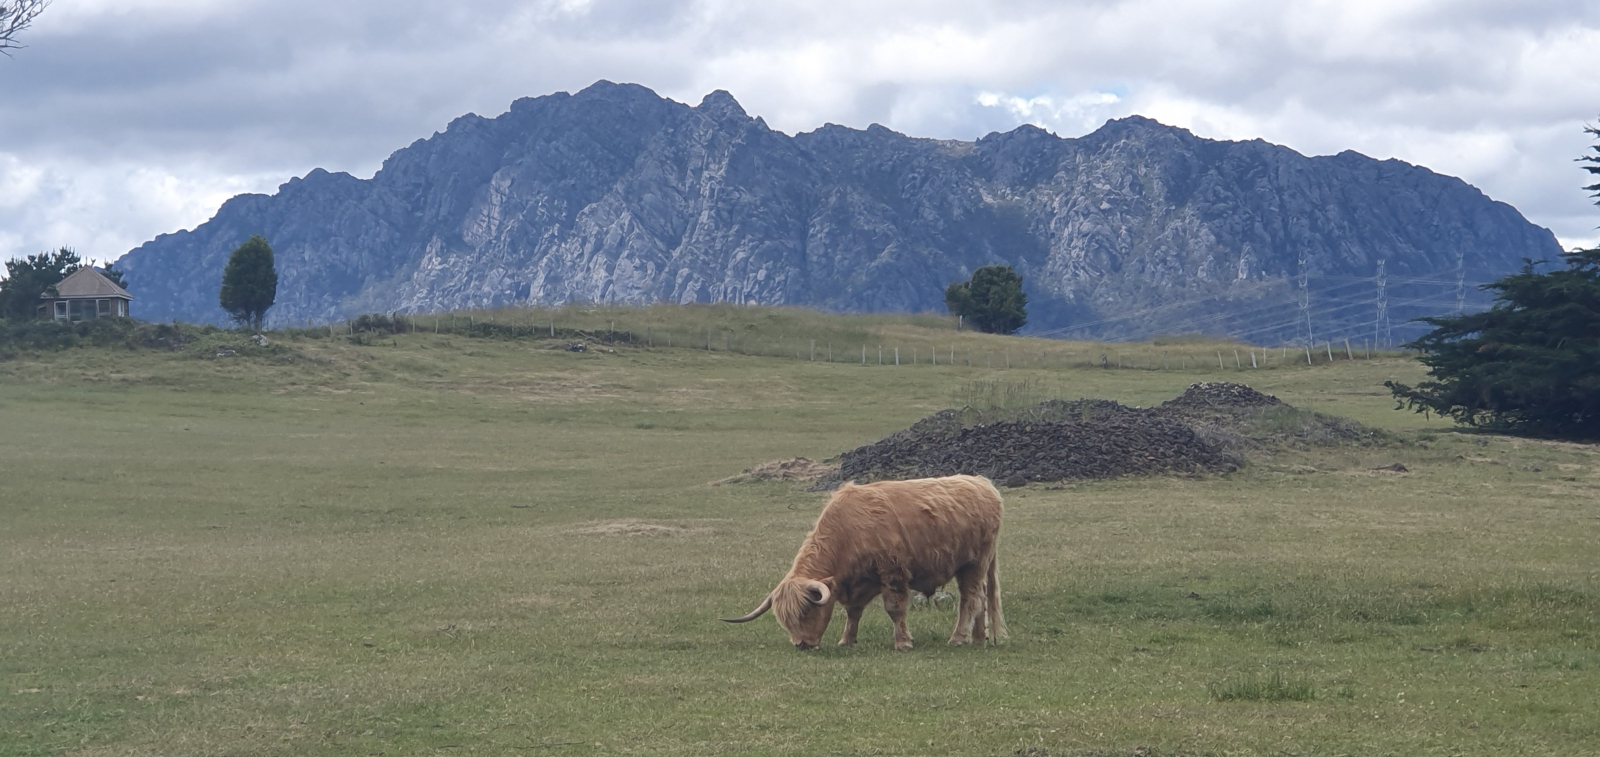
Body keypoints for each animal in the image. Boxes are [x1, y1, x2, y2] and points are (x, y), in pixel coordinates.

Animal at [721, 474, 1007, 651]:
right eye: (785, 620)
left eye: (806, 611)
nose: (801, 644)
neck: (847, 531)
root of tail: (982, 482)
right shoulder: (858, 582)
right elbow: (853, 611)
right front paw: (847, 639)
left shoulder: (893, 572)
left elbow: (894, 609)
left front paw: (903, 642)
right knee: (981, 598)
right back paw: (978, 638)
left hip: (974, 563)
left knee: (970, 599)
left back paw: (958, 638)